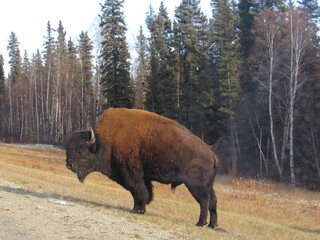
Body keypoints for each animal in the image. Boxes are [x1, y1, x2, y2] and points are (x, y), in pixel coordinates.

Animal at [65, 108, 220, 228]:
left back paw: (200, 223)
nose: (69, 164)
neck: (105, 141)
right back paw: (212, 225)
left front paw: (137, 210)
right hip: (208, 185)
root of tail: (212, 153)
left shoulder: (131, 174)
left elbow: (138, 191)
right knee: (212, 201)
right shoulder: (143, 177)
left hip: (196, 185)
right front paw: (140, 209)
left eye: (82, 148)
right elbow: (144, 192)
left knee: (204, 201)